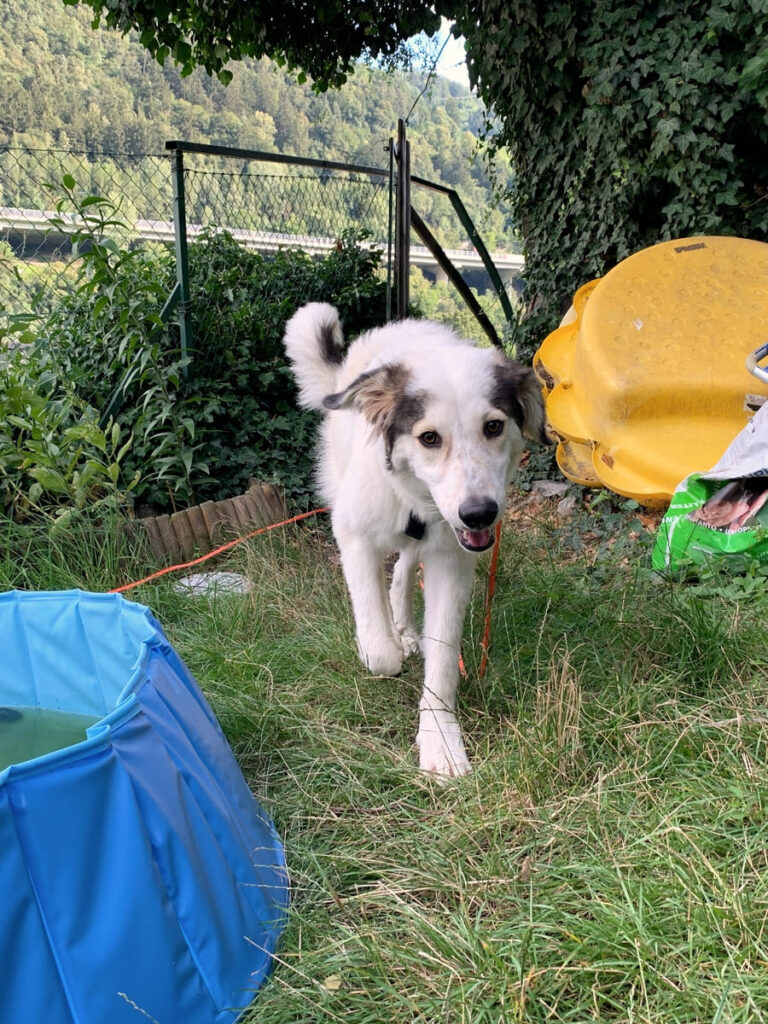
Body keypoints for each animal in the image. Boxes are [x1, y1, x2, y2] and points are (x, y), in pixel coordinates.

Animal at [284, 303, 548, 774]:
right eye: (429, 438)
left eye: (493, 427)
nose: (479, 513)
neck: (416, 502)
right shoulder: (352, 535)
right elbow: (379, 650)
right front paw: (382, 645)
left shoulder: (451, 560)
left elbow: (442, 660)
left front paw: (440, 742)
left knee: (405, 567)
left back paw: (406, 627)